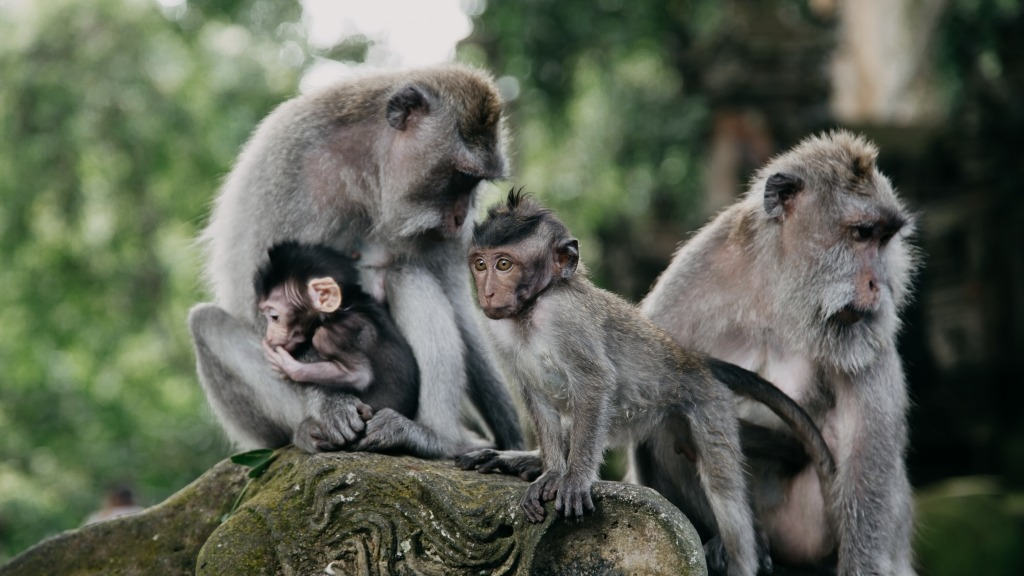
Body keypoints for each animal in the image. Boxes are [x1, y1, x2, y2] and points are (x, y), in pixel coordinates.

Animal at [256, 239, 419, 440]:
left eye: (274, 317)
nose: (269, 336)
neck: (345, 307)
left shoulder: (329, 335)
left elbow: (358, 374)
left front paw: (284, 365)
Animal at [460, 191, 835, 573]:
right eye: (480, 264)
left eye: (503, 265)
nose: (487, 293)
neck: (531, 312)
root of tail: (693, 358)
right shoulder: (501, 331)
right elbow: (537, 396)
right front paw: (551, 471)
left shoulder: (564, 317)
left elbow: (595, 383)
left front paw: (574, 478)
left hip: (708, 402)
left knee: (723, 488)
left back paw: (741, 558)